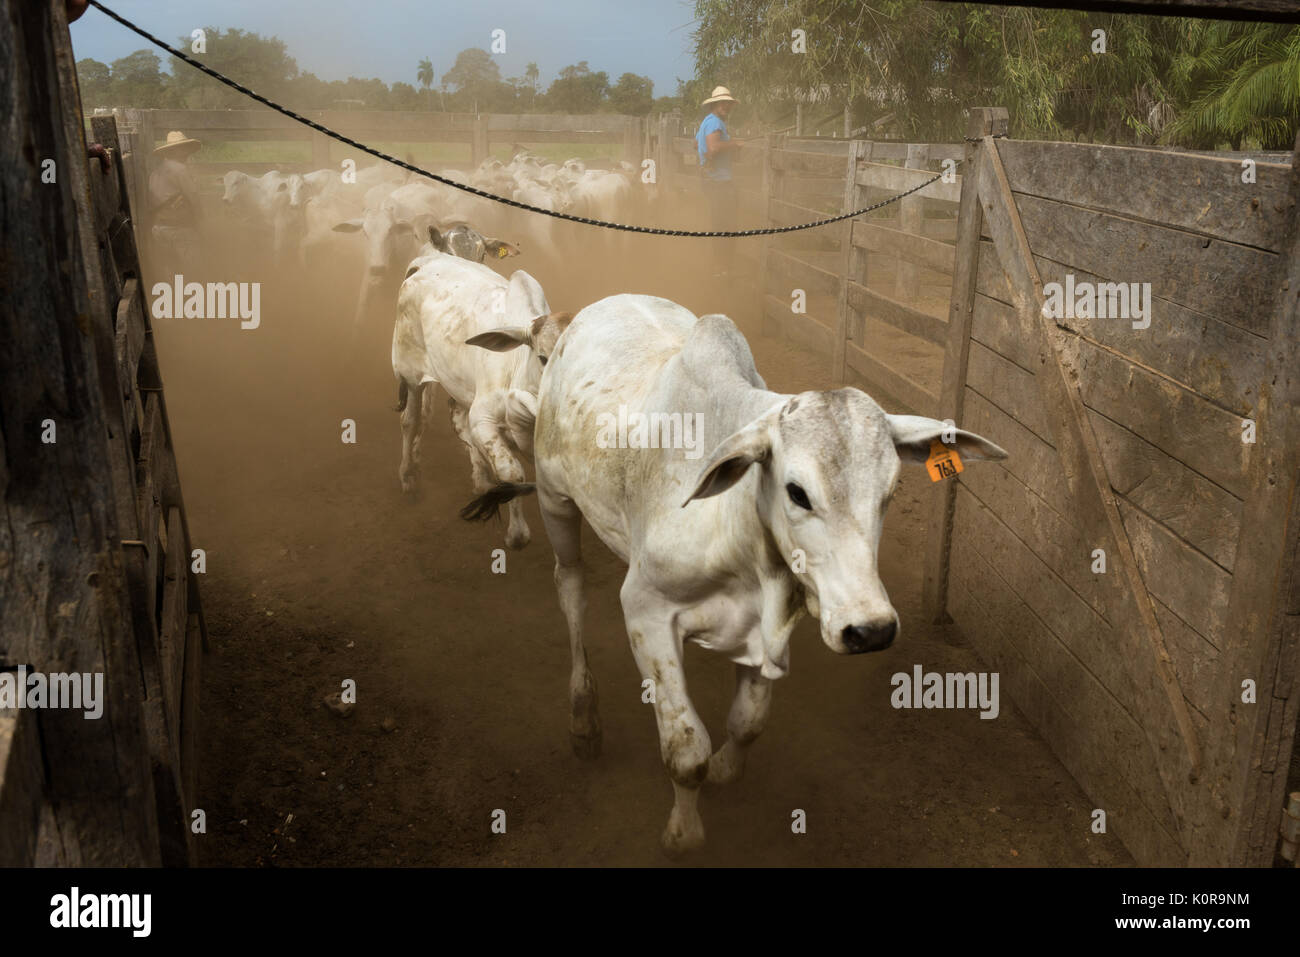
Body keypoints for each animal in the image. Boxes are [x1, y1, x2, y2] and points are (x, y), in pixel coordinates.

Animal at [390, 250, 564, 548]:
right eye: (544, 357)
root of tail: (425, 261)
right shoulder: (484, 419)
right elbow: (511, 473)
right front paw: (516, 534)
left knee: (457, 419)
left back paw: (480, 479)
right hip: (410, 373)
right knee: (410, 422)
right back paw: (408, 478)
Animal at [462, 297, 1008, 852]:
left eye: (890, 490)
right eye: (797, 492)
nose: (870, 628)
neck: (738, 529)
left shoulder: (769, 624)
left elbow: (747, 724)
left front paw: (727, 768)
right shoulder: (646, 612)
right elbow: (686, 752)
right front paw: (682, 833)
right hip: (556, 500)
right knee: (571, 590)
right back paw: (583, 717)